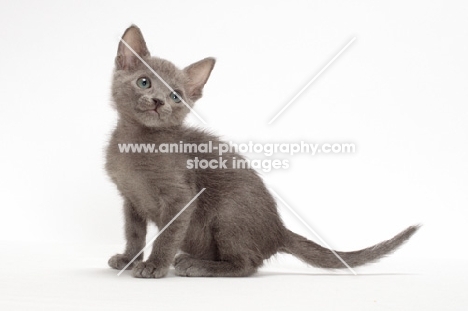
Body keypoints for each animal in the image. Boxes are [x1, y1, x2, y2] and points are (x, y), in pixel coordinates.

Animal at [107, 25, 420, 280]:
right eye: (144, 82)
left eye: (176, 96)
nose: (159, 101)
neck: (135, 143)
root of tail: (278, 230)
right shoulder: (129, 199)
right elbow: (134, 233)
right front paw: (128, 259)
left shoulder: (181, 199)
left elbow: (167, 235)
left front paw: (154, 265)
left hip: (229, 214)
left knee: (247, 264)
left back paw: (196, 265)